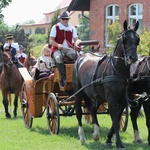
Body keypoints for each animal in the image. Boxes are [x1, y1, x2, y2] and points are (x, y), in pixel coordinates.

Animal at [73, 20, 139, 149]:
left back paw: (96, 134)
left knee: (92, 110)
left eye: (137, 39)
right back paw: (82, 136)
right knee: (78, 112)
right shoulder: (111, 99)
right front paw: (118, 142)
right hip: (79, 92)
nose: (132, 57)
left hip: (97, 96)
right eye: (124, 39)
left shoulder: (123, 100)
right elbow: (115, 121)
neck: (116, 70)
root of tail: (81, 57)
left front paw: (109, 138)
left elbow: (117, 118)